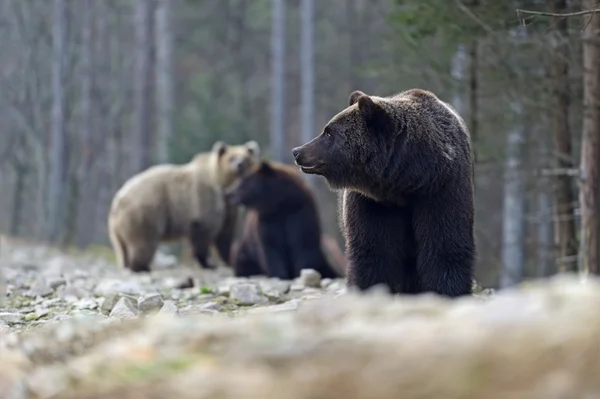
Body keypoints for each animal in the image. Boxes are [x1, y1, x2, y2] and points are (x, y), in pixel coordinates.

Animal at [107, 139, 260, 274]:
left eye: (246, 158)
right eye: (231, 158)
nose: (240, 165)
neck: (223, 185)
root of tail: (117, 200)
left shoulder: (228, 209)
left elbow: (225, 234)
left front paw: (228, 260)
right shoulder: (205, 198)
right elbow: (204, 231)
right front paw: (207, 263)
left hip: (118, 228)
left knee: (122, 248)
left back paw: (128, 264)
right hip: (145, 213)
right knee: (144, 242)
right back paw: (142, 267)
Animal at [292, 89, 476, 298]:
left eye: (329, 132)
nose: (297, 151)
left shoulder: (441, 188)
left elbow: (445, 241)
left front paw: (448, 291)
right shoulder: (373, 202)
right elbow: (374, 249)